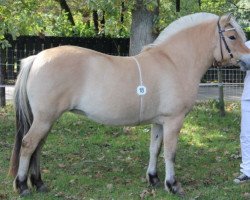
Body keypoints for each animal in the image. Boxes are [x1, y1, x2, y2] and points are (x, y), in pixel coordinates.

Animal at [8, 12, 250, 197]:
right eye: (231, 36)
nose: (248, 61)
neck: (173, 62)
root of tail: (36, 58)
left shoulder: (159, 122)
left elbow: (154, 148)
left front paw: (153, 179)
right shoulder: (174, 121)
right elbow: (170, 153)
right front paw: (173, 185)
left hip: (46, 119)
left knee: (38, 147)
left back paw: (38, 183)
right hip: (44, 118)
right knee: (29, 145)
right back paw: (22, 187)